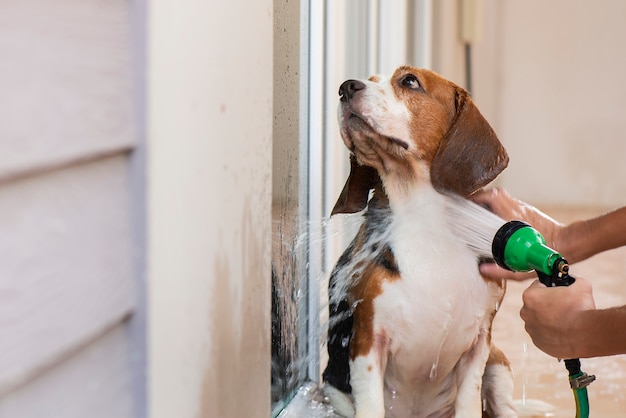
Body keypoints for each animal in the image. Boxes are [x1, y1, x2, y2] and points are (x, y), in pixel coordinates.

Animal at [322, 67, 516, 416]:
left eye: (409, 81)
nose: (345, 88)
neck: (426, 223)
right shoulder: (367, 341)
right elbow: (371, 404)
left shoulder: (480, 343)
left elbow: (469, 401)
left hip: (498, 364)